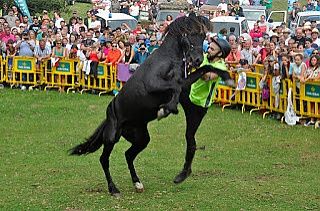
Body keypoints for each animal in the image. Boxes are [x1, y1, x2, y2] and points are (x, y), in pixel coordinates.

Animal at [69, 14, 232, 197]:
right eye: (190, 34)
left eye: (203, 36)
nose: (197, 59)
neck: (168, 59)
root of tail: (109, 115)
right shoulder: (153, 83)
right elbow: (175, 87)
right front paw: (166, 109)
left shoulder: (184, 81)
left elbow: (205, 69)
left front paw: (227, 76)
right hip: (112, 137)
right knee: (104, 159)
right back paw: (114, 189)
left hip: (141, 138)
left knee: (128, 155)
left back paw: (137, 183)